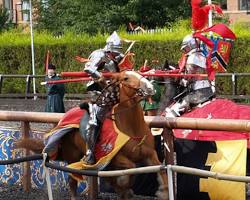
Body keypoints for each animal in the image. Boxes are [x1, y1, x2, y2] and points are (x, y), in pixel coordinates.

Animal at [15, 70, 168, 200]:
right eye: (126, 78)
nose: (149, 87)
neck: (131, 128)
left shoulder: (150, 154)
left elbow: (161, 171)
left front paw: (163, 192)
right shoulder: (114, 157)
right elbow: (129, 170)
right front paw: (125, 188)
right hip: (72, 156)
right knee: (72, 181)